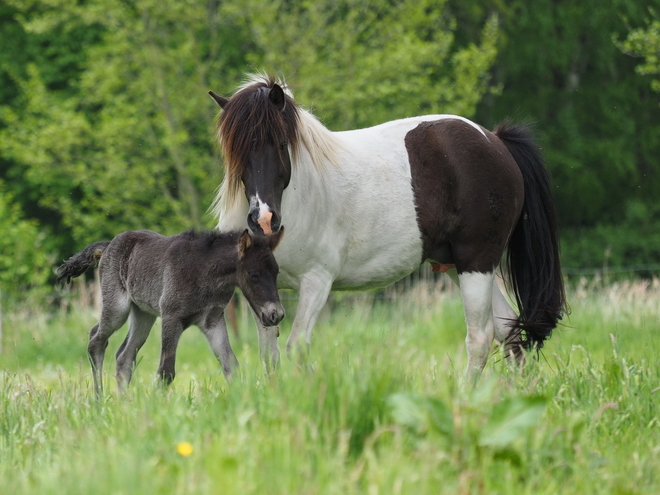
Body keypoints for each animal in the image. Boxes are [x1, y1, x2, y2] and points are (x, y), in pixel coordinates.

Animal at [56, 229, 284, 396]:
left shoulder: (212, 321)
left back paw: (124, 403)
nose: (276, 315)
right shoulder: (171, 318)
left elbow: (231, 365)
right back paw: (99, 399)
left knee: (124, 356)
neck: (204, 271)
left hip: (143, 315)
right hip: (117, 309)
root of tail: (109, 244)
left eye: (276, 272)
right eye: (253, 274)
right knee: (96, 340)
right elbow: (166, 371)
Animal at [208, 73, 568, 378]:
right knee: (510, 331)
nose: (264, 220)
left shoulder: (316, 283)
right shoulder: (261, 291)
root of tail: (495, 140)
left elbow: (296, 348)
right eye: (236, 151)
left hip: (476, 262)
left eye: (282, 144)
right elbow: (269, 356)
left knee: (480, 337)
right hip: (460, 265)